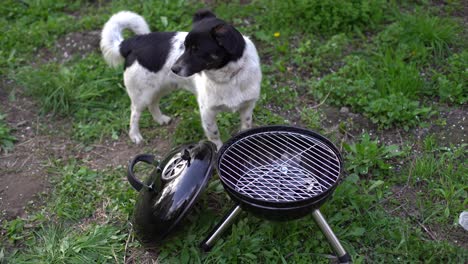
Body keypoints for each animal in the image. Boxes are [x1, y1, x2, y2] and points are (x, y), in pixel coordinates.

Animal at [100, 9, 262, 148]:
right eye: (184, 46)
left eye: (196, 49)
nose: (174, 68)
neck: (227, 77)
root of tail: (134, 41)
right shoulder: (207, 112)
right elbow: (214, 135)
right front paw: (217, 150)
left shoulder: (248, 106)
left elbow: (246, 127)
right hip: (141, 95)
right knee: (134, 112)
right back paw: (135, 135)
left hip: (161, 87)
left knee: (153, 103)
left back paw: (160, 119)